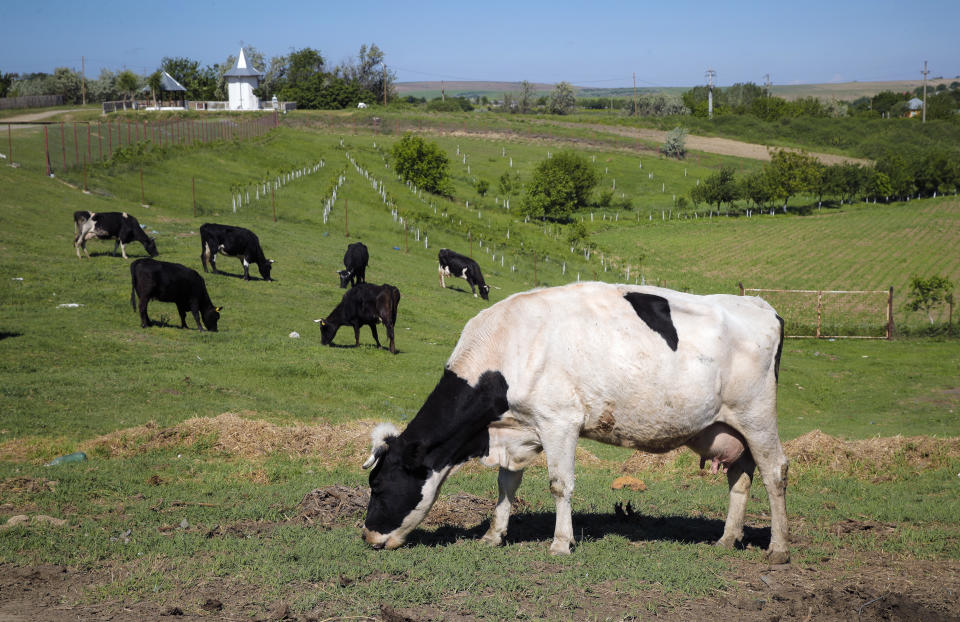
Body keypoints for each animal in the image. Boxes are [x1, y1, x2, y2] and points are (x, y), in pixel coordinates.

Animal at [360, 282, 788, 564]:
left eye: (378, 486)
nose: (367, 536)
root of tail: (761, 305)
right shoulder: (519, 430)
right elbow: (506, 484)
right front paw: (493, 535)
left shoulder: (559, 420)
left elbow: (559, 484)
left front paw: (561, 543)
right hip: (730, 429)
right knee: (741, 479)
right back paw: (727, 539)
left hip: (757, 415)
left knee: (775, 472)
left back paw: (779, 548)